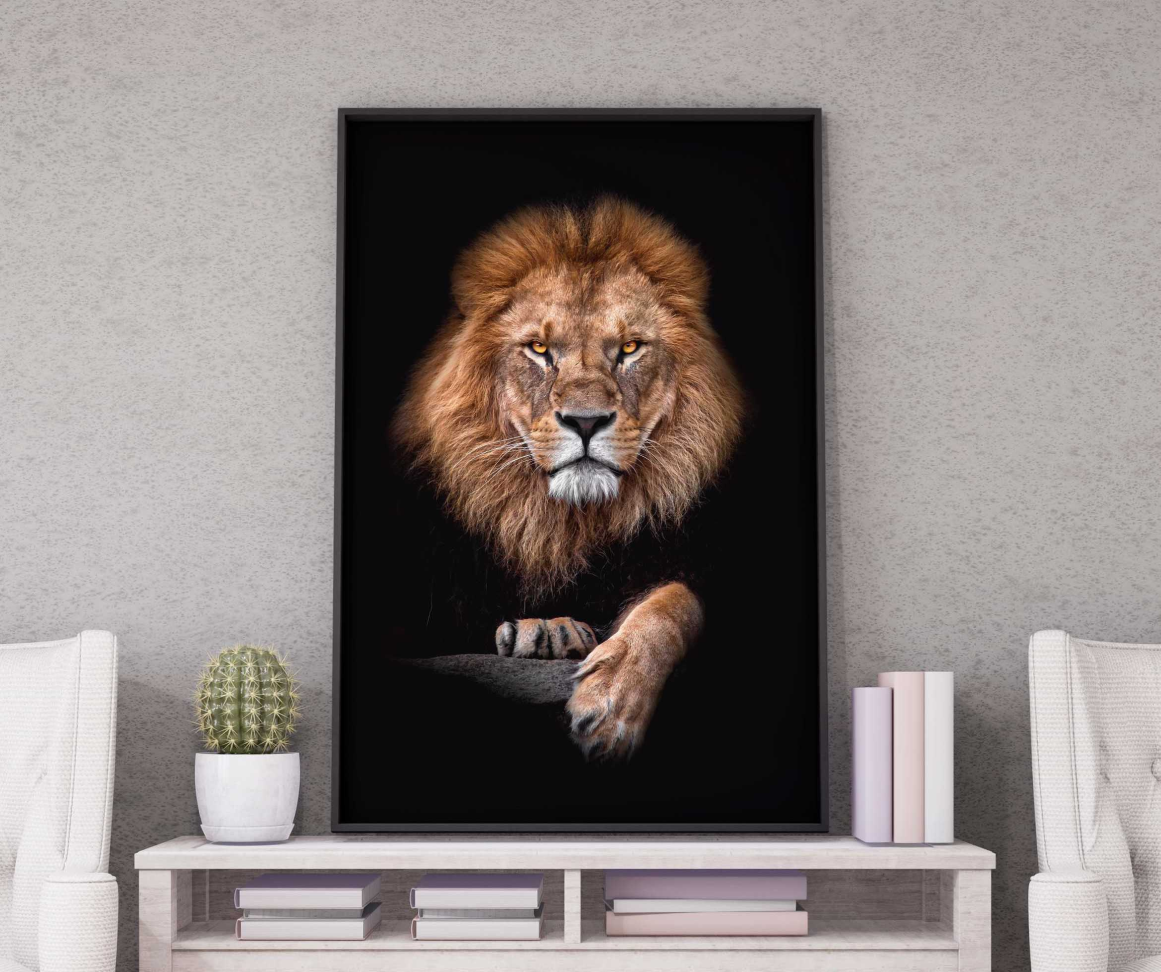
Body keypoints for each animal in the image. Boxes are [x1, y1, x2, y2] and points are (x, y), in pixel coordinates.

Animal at [392, 196, 745, 760]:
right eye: (539, 349)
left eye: (629, 348)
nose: (584, 421)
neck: (561, 525)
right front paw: (546, 631)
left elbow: (673, 604)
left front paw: (612, 703)